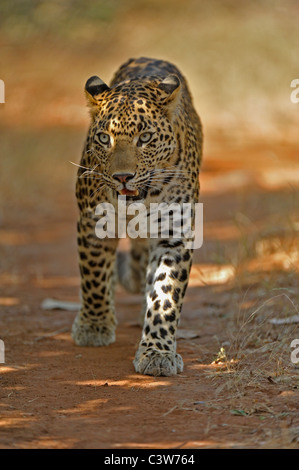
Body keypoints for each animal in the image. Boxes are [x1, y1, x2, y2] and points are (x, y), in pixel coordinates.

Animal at [72, 57, 204, 376]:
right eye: (104, 138)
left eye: (145, 138)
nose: (122, 177)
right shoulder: (93, 223)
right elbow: (93, 276)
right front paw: (94, 326)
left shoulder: (174, 234)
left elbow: (165, 293)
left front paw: (157, 352)